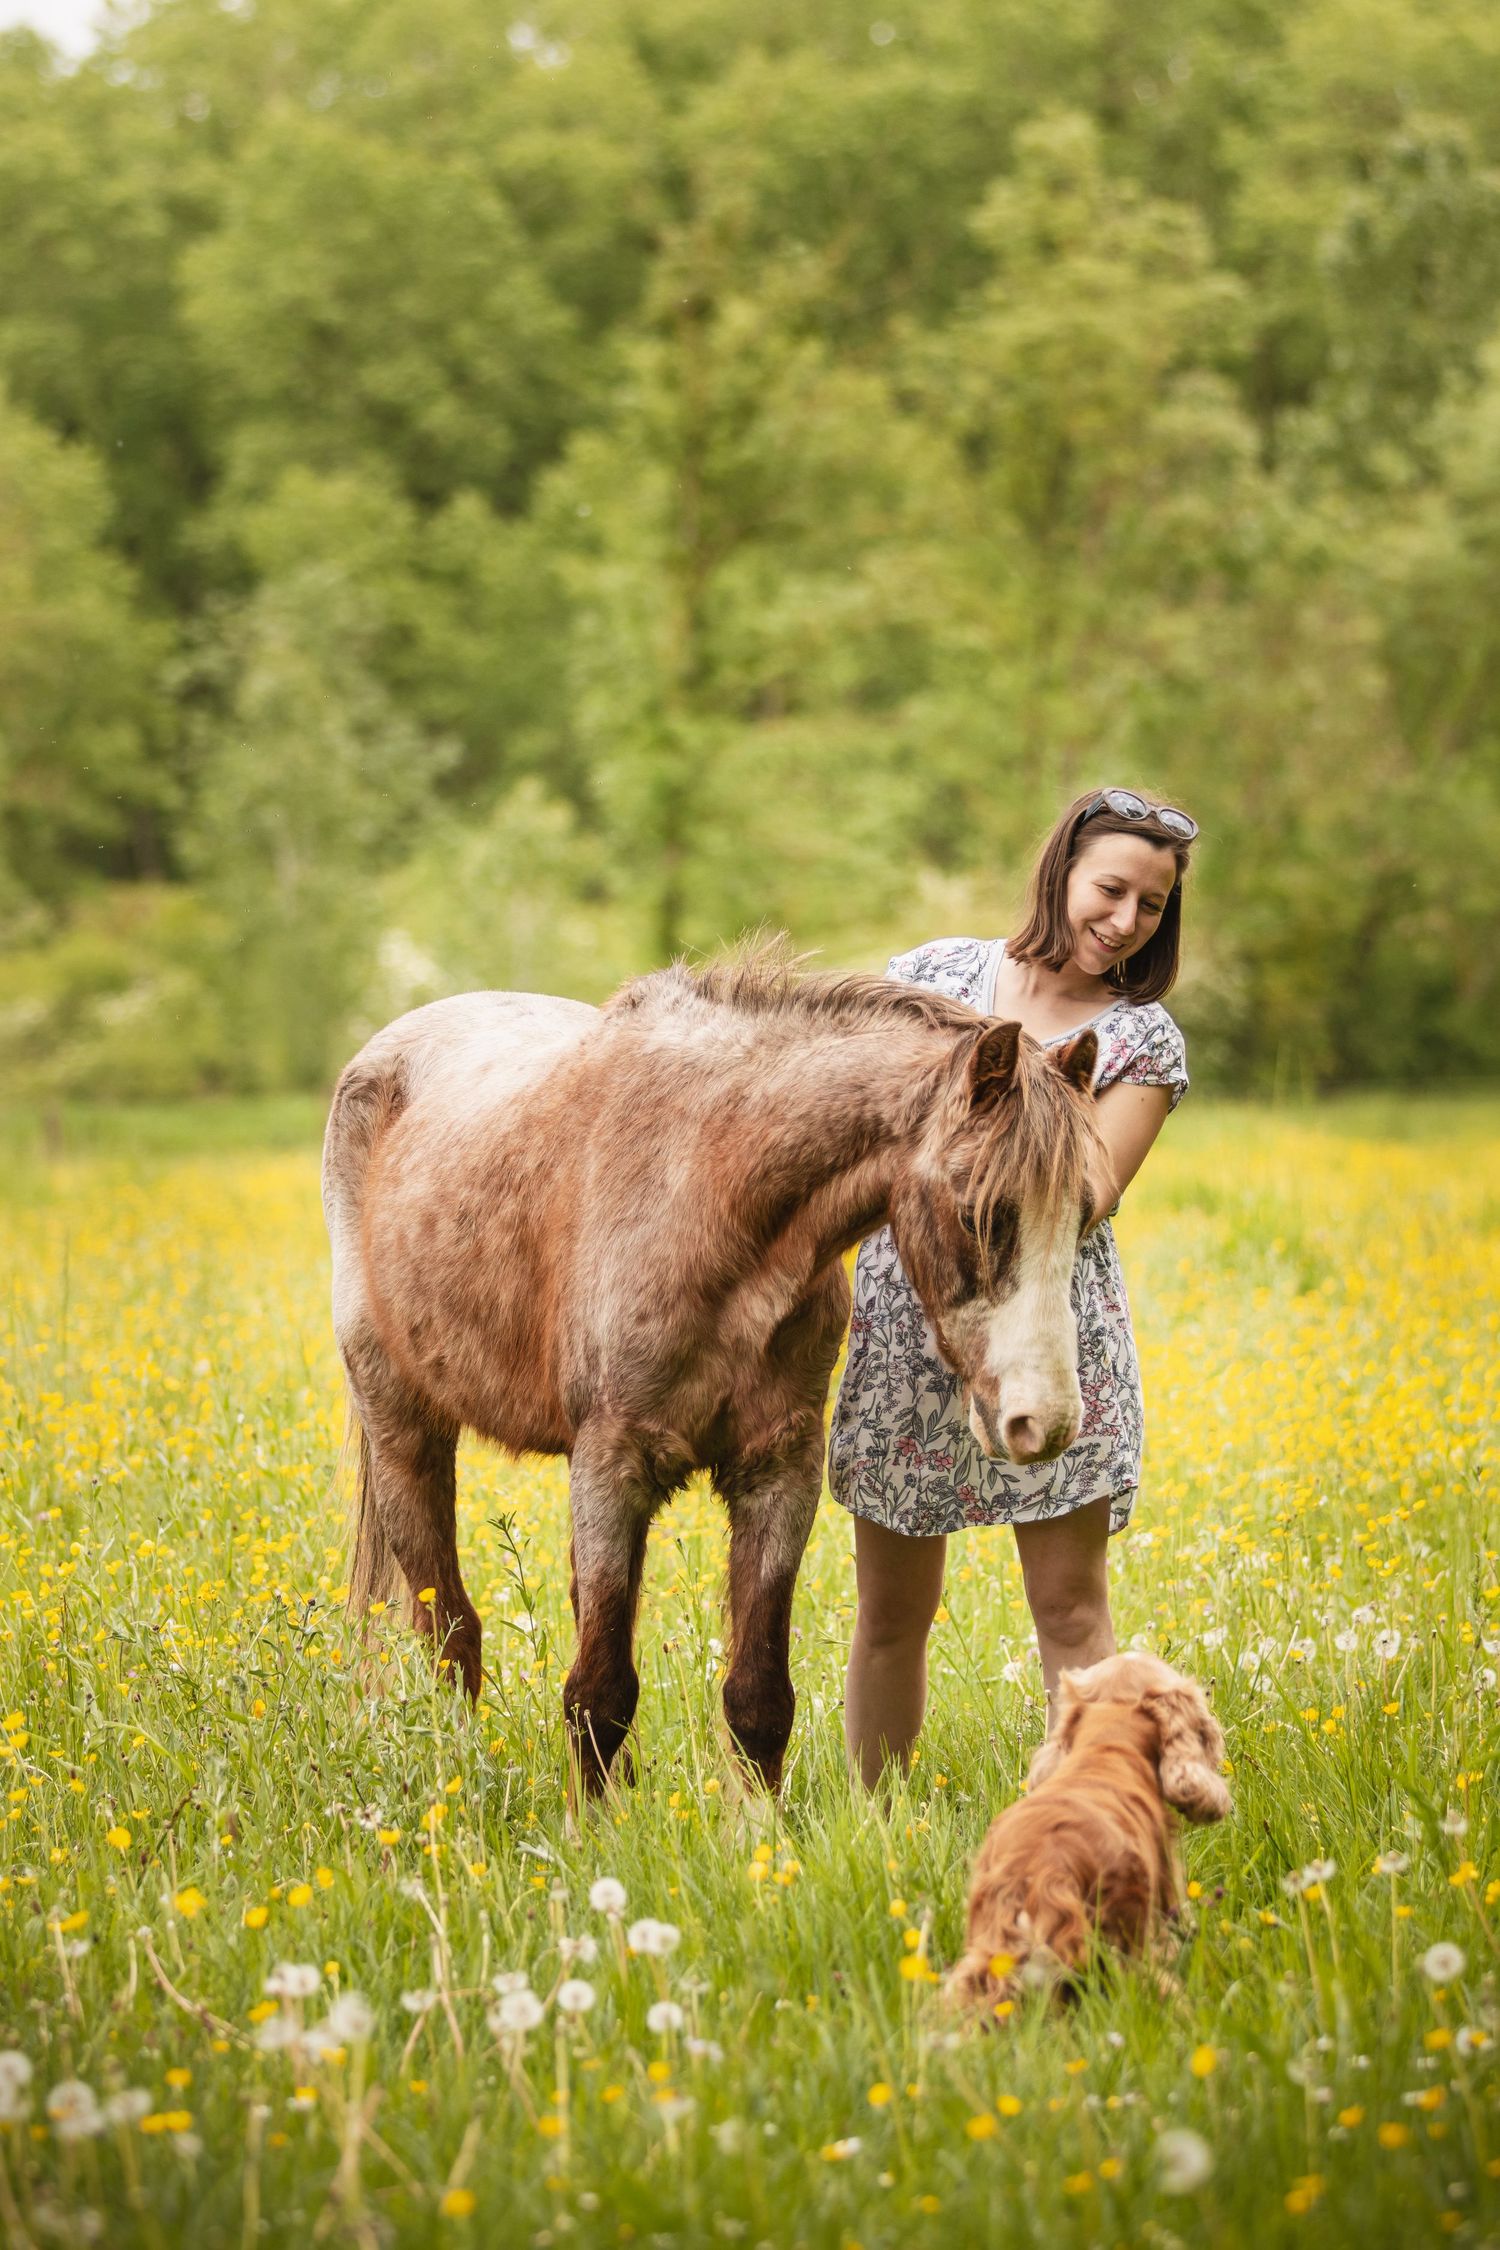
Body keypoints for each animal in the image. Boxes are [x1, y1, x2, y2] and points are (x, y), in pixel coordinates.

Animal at [322, 946, 1101, 1797]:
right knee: (450, 1629)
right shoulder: (612, 1465)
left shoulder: (778, 1470)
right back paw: (458, 1778)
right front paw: (592, 1830)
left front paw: (753, 1827)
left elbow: (758, 1695)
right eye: (980, 1215)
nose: (1046, 1422)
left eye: (1088, 1214)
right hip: (405, 1431)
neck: (706, 1191)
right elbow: (599, 1692)